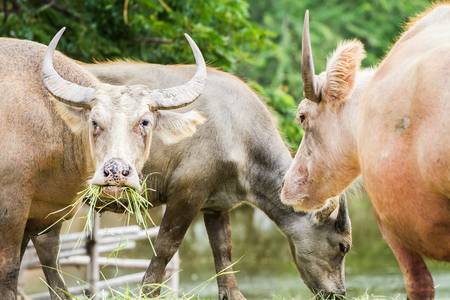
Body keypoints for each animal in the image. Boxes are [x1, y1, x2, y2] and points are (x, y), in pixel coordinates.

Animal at [0, 29, 207, 298]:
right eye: (95, 122)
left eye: (144, 122)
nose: (116, 172)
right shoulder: (10, 211)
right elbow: (9, 273)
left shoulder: (44, 218)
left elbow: (54, 278)